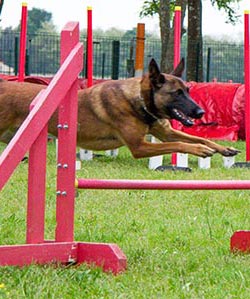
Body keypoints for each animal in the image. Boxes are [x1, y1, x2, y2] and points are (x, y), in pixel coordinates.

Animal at [0, 59, 239, 161]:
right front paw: (200, 150)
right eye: (177, 93)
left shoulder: (165, 132)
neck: (140, 102)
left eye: (188, 90)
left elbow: (199, 138)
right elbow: (180, 144)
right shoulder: (139, 147)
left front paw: (223, 149)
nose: (200, 113)